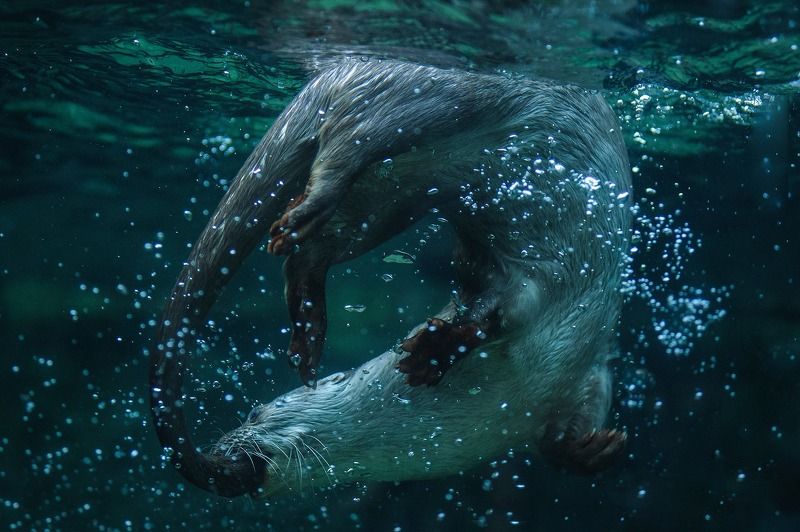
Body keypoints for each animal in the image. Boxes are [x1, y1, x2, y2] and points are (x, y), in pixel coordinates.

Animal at [150, 60, 632, 497]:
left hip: (425, 128)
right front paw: (431, 352)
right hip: (416, 129)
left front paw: (595, 448)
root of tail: (342, 68)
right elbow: (485, 305)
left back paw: (305, 292)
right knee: (346, 145)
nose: (221, 446)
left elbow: (509, 332)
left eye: (253, 413)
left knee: (340, 174)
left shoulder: (583, 361)